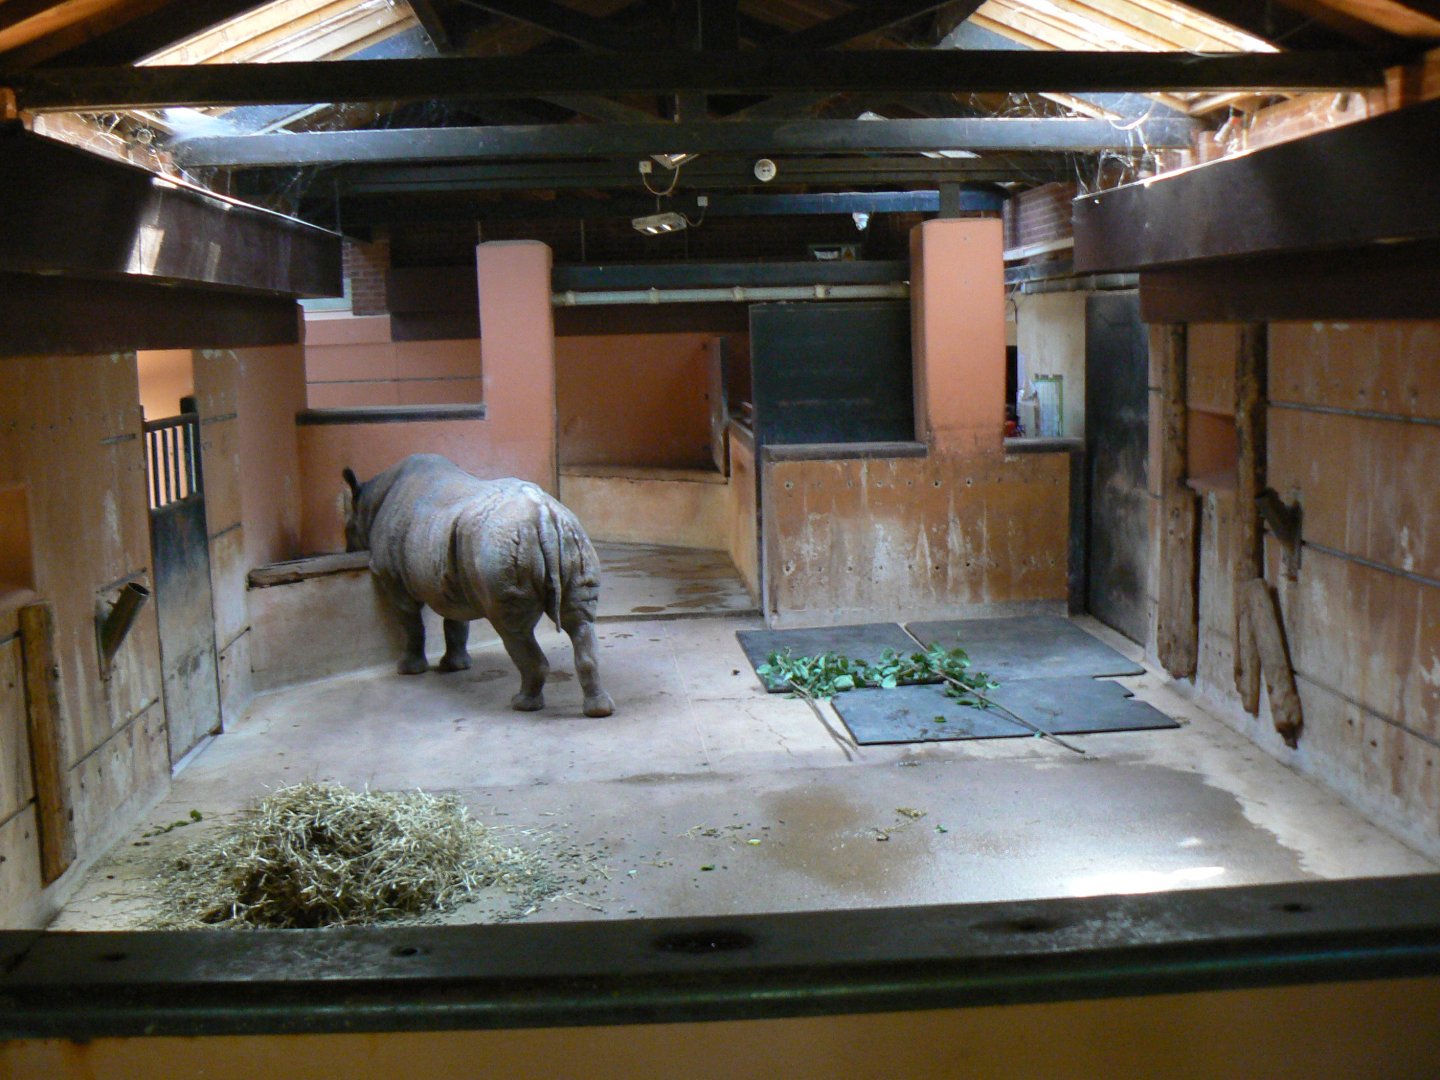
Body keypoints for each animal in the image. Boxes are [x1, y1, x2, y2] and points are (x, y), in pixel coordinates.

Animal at [341, 453, 614, 717]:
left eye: (347, 531)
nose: (347, 550)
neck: (370, 500)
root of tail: (544, 516)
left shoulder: (392, 577)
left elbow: (411, 623)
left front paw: (409, 670)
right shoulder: (451, 572)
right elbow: (455, 622)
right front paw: (456, 666)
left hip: (502, 546)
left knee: (514, 630)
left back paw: (521, 704)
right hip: (571, 538)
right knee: (579, 621)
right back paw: (599, 709)